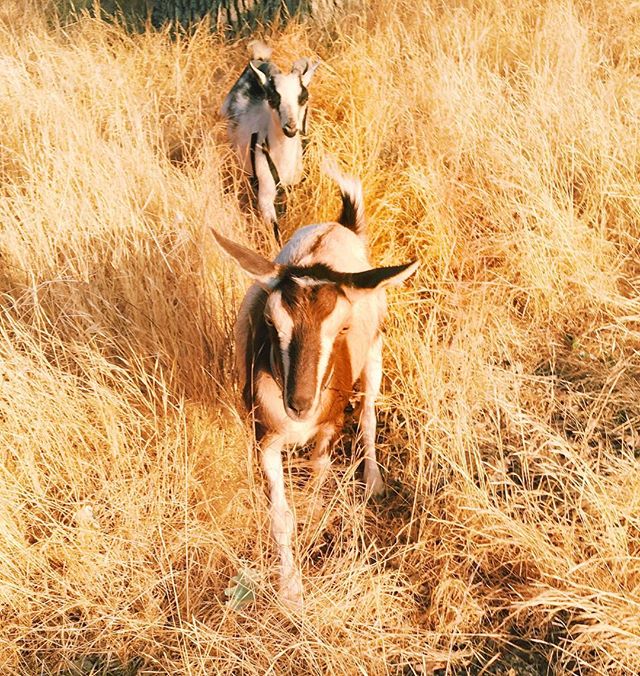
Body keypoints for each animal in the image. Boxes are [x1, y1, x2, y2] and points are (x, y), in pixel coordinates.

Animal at [212, 165, 418, 608]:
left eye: (341, 328)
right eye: (270, 324)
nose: (300, 403)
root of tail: (340, 225)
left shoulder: (328, 429)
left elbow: (318, 482)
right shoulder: (265, 438)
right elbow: (280, 516)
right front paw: (291, 590)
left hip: (375, 354)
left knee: (369, 415)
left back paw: (373, 482)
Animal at [221, 41, 318, 244]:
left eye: (304, 97)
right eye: (273, 99)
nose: (290, 127)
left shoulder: (291, 189)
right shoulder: (266, 197)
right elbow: (275, 231)